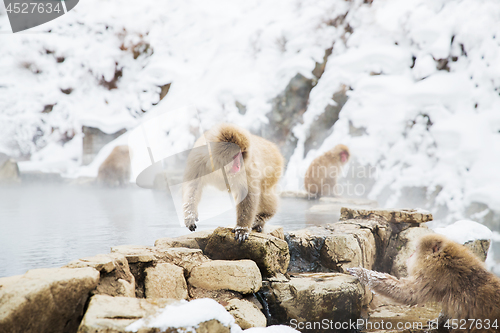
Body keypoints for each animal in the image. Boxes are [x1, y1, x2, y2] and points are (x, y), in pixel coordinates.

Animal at [348, 233, 500, 332]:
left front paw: (362, 273)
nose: (410, 255)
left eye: (415, 250)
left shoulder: (432, 275)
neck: (443, 258)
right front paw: (439, 320)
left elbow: (409, 293)